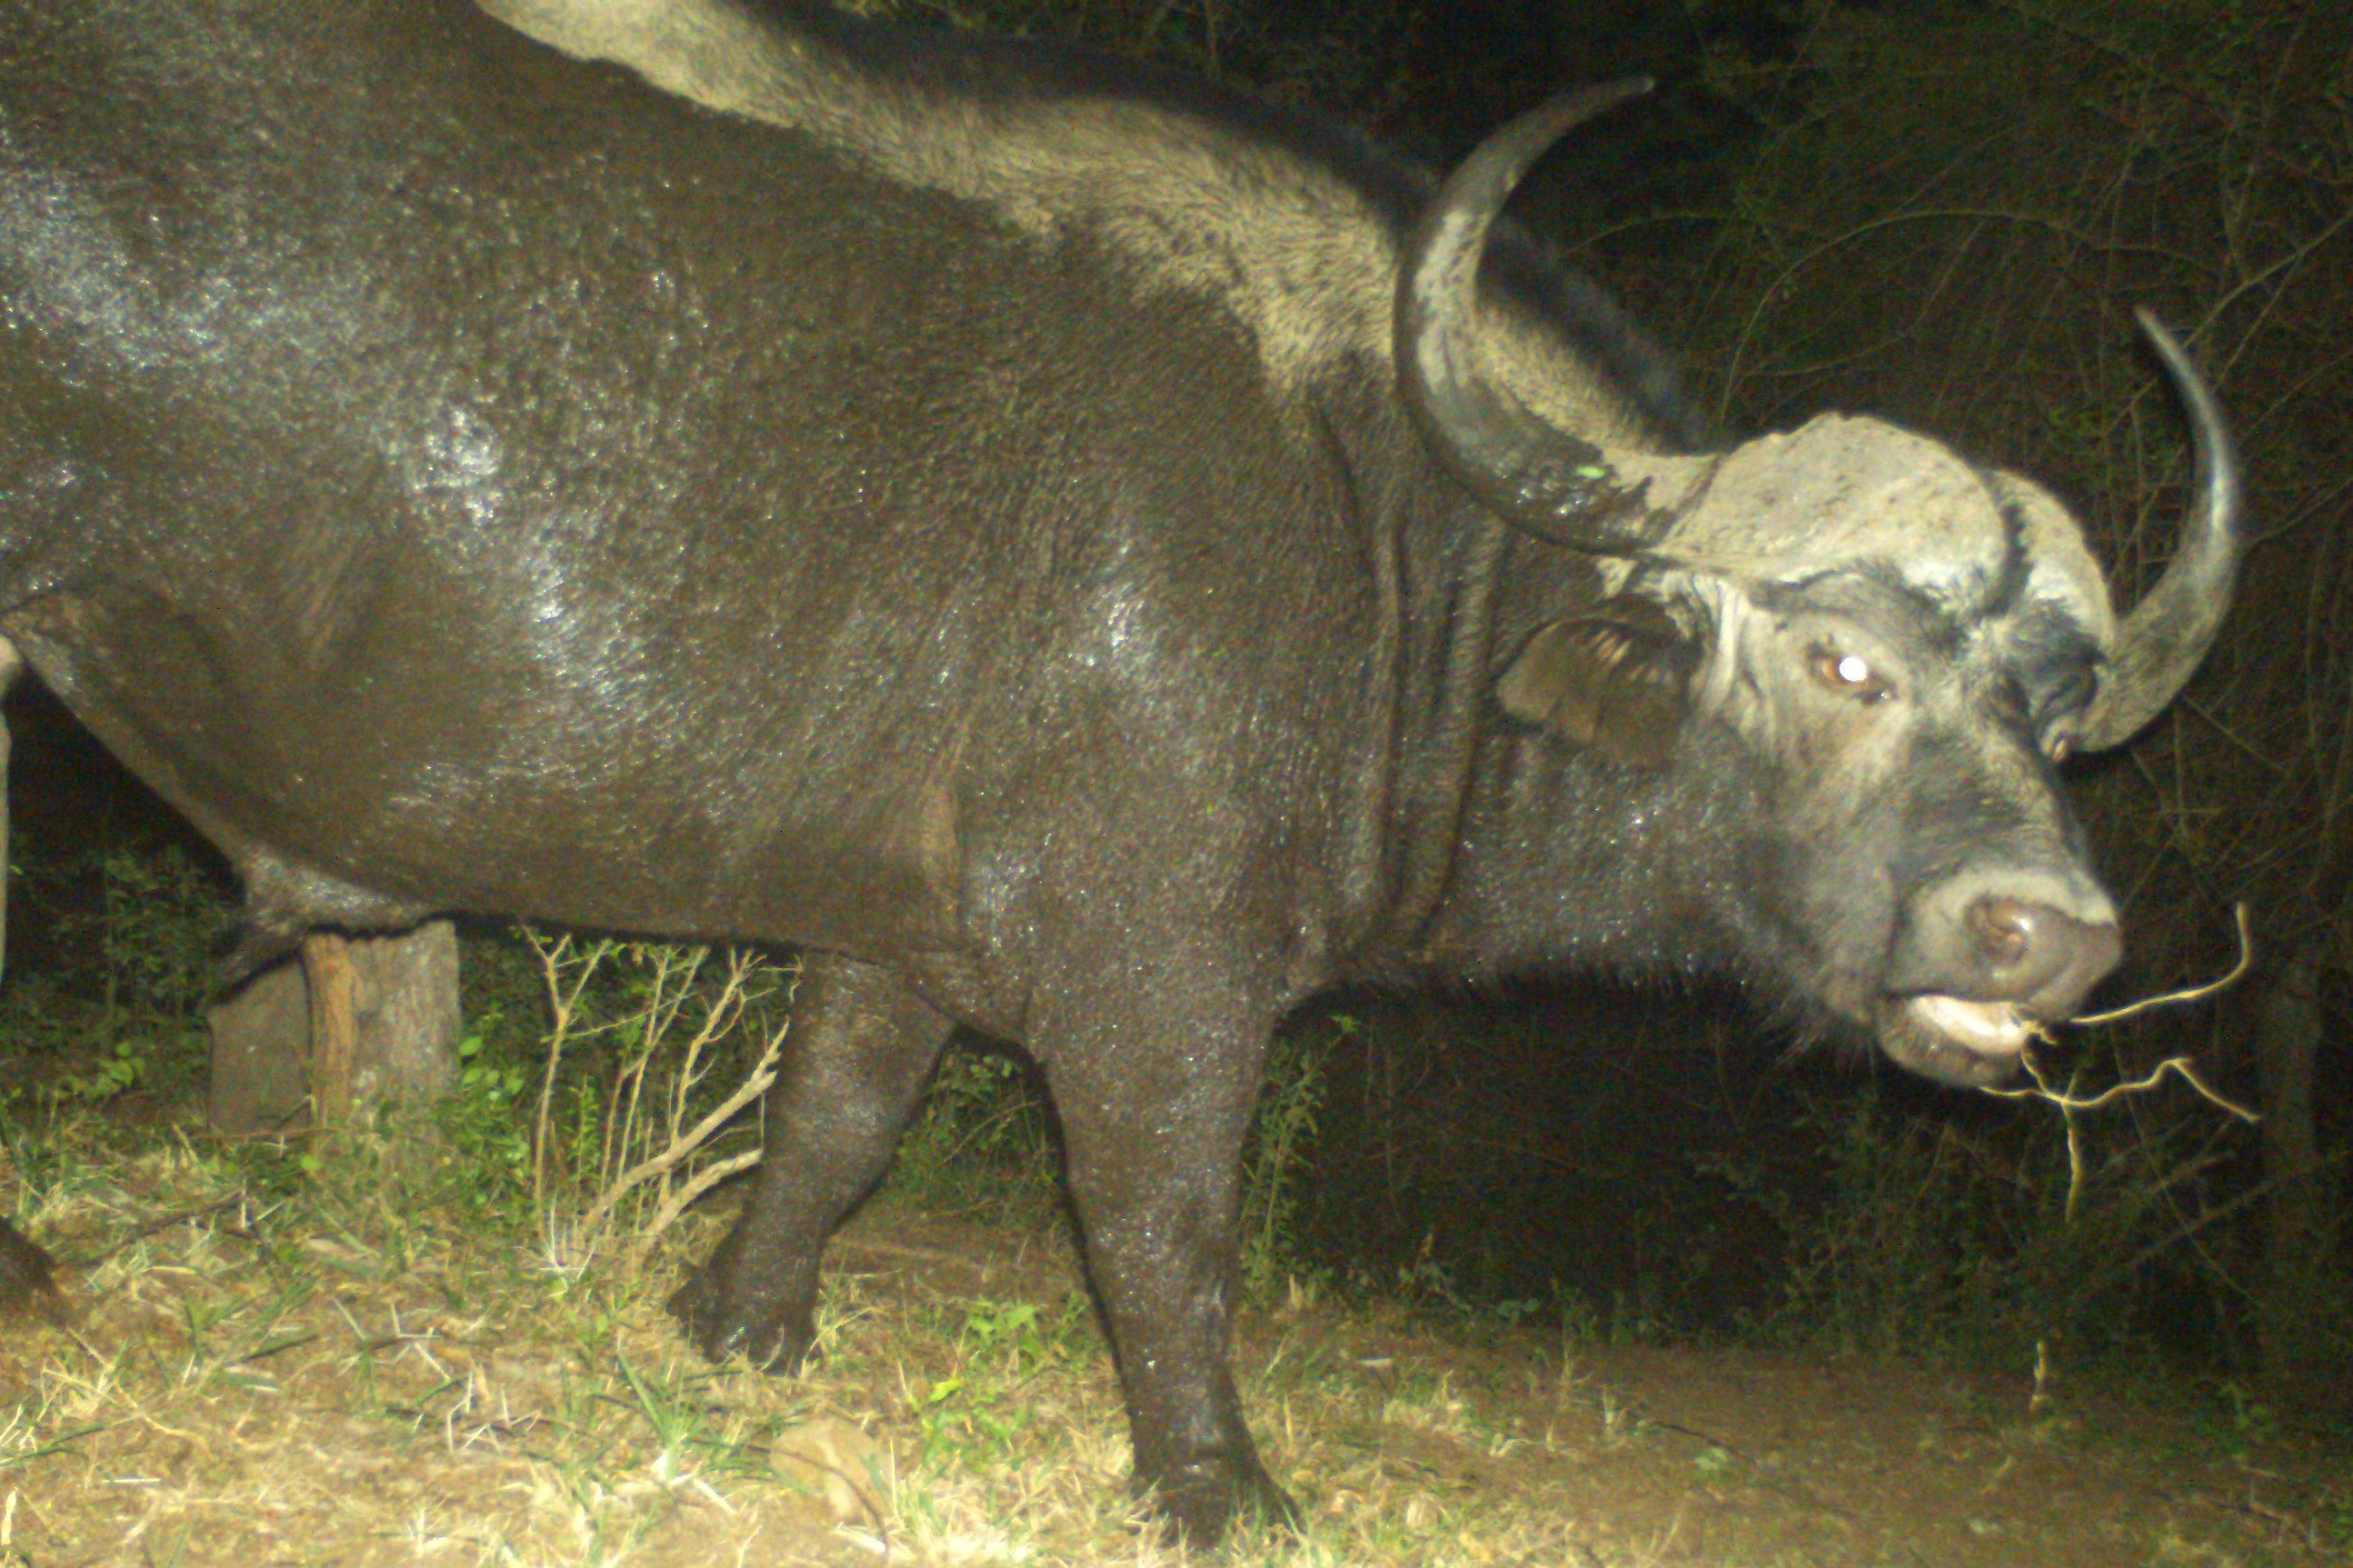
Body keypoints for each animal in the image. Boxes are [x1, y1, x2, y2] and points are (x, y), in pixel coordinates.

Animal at [0, 0, 2238, 1538]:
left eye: (2053, 712)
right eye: (1840, 656)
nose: (2044, 933)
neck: (1384, 532)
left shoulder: (897, 943)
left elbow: (829, 1130)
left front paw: (735, 1326)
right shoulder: (1159, 985)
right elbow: (1165, 1224)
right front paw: (1220, 1484)